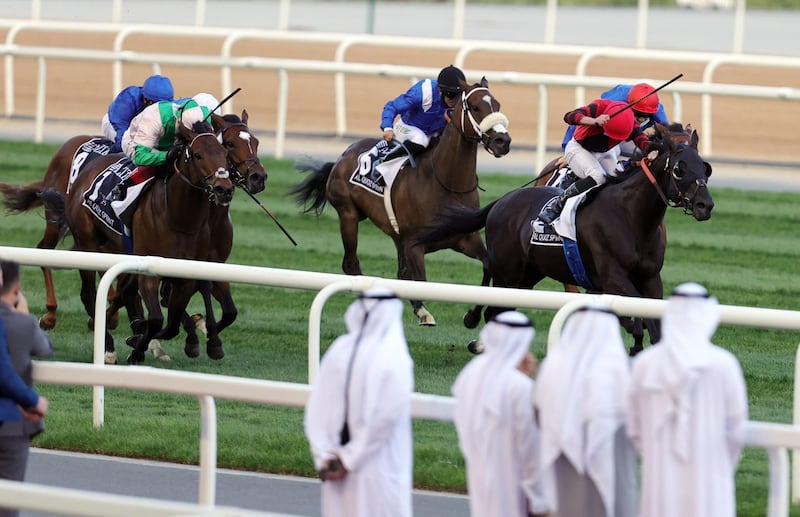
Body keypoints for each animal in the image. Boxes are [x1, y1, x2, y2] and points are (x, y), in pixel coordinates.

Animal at [290, 77, 510, 322]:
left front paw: (472, 316)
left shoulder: (465, 239)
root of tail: (342, 156)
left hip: (395, 235)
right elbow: (419, 280)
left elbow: (488, 266)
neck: (447, 183)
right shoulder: (414, 244)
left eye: (497, 105)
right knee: (351, 264)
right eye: (475, 107)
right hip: (348, 214)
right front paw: (422, 311)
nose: (502, 141)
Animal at [418, 123, 712, 352]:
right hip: (507, 272)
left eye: (705, 168)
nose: (705, 205)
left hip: (528, 275)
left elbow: (653, 326)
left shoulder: (651, 279)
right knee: (493, 306)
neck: (633, 218)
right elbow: (642, 322)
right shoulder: (613, 277)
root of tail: (501, 201)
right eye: (679, 168)